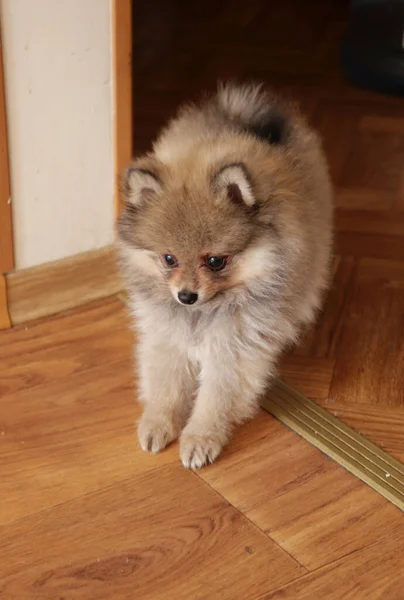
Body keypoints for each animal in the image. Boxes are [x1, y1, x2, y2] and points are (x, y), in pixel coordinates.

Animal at [116, 84, 332, 468]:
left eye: (215, 261)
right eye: (169, 259)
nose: (186, 296)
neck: (203, 313)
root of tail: (241, 114)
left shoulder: (234, 348)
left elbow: (215, 398)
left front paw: (200, 438)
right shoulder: (166, 335)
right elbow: (166, 384)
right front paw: (158, 422)